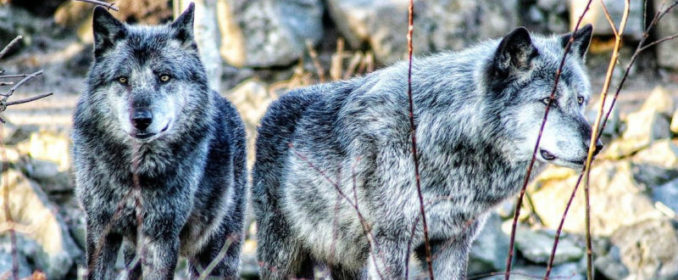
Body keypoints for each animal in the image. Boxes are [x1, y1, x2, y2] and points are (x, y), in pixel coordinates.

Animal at [73, 3, 247, 278]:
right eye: (123, 79)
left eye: (164, 77)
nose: (141, 119)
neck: (136, 173)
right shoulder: (101, 227)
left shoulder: (161, 235)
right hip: (133, 250)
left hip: (217, 251)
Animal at [255, 25, 600, 278]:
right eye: (548, 101)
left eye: (580, 100)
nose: (595, 146)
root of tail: (271, 107)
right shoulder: (390, 245)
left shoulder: (453, 244)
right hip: (283, 257)